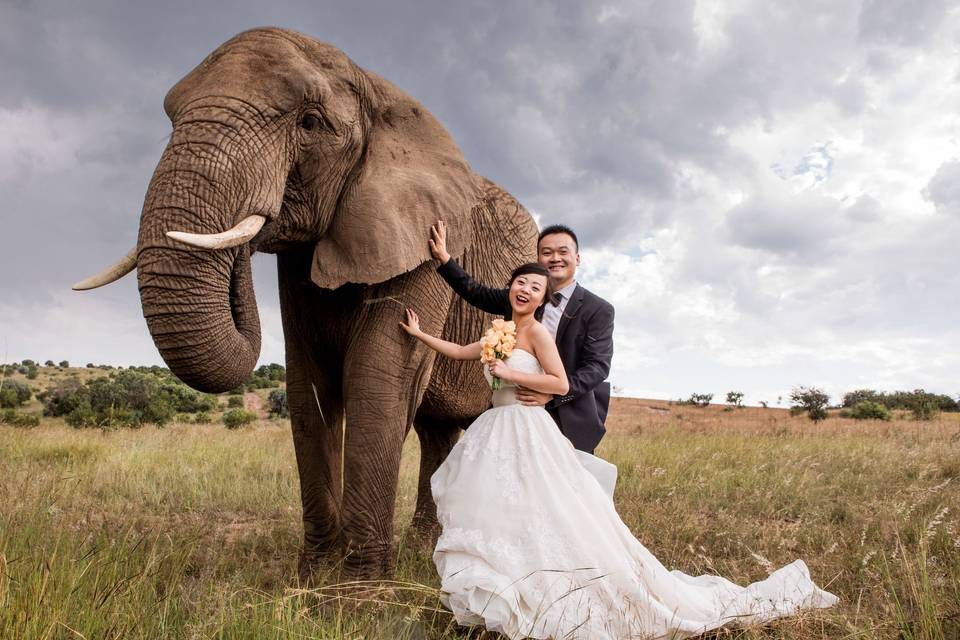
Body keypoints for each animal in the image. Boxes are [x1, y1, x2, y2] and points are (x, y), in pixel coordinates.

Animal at [75, 26, 540, 580]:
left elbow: (377, 374)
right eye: (169, 116)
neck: (376, 89)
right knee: (437, 433)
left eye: (310, 123)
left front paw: (359, 590)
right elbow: (307, 383)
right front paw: (314, 578)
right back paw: (424, 550)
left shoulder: (421, 238)